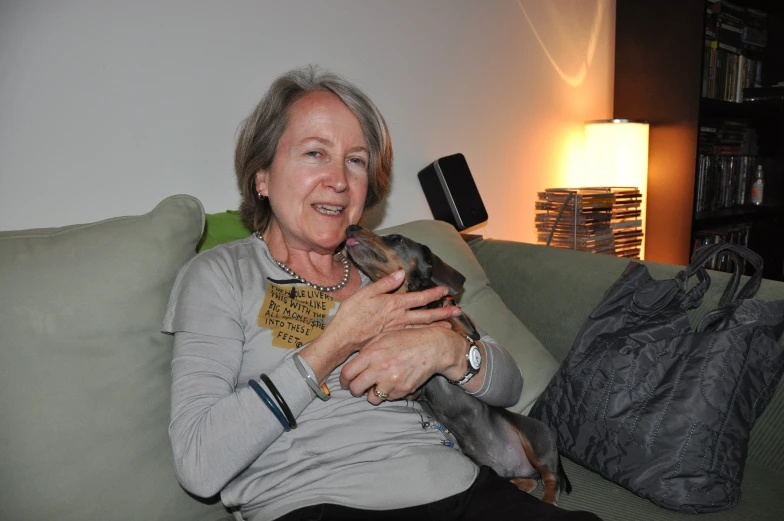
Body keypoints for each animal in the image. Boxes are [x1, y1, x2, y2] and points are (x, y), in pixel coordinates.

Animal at [344, 223, 568, 504]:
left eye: (396, 238)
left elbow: (453, 318)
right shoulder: (413, 390)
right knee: (530, 481)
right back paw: (518, 482)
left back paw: (548, 498)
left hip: (536, 438)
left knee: (551, 478)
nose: (351, 227)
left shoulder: (468, 331)